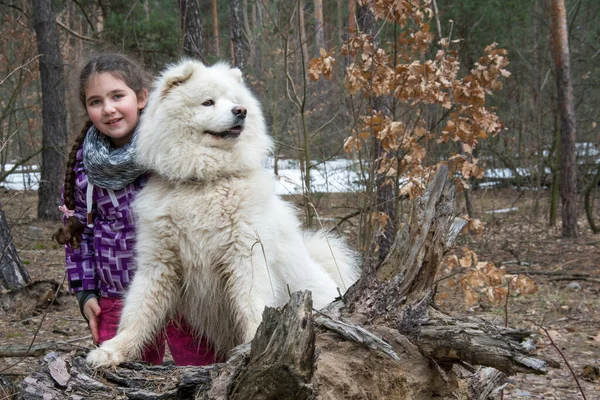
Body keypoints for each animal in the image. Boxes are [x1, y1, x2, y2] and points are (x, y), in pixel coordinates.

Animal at [86, 60, 358, 368]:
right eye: (208, 102)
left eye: (235, 101)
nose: (241, 111)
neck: (205, 182)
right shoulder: (159, 263)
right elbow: (137, 312)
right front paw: (112, 350)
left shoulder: (247, 257)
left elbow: (253, 306)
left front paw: (254, 347)